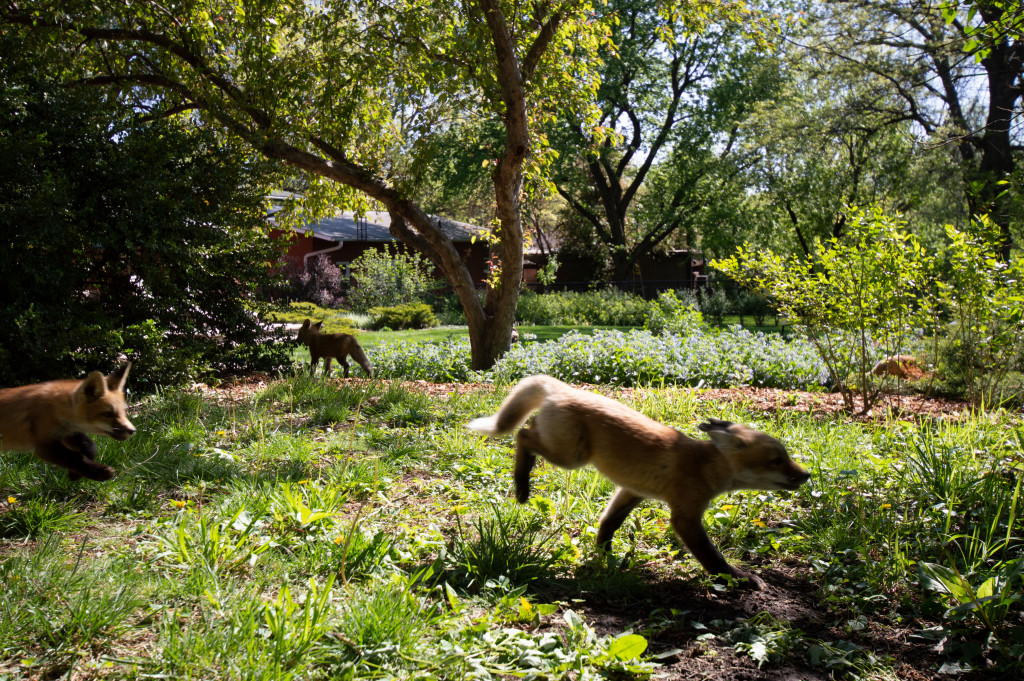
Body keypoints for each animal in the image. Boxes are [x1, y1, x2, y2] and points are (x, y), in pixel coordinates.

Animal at [0, 364, 136, 481]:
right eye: (108, 414)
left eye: (123, 412)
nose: (132, 431)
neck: (57, 408)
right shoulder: (44, 445)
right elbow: (76, 457)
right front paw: (100, 472)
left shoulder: (67, 433)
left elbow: (90, 446)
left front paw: (76, 474)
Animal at [468, 374, 811, 585]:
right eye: (777, 460)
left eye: (785, 456)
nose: (807, 475)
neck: (703, 465)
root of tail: (564, 388)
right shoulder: (685, 517)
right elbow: (711, 557)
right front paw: (737, 579)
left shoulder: (632, 491)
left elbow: (608, 525)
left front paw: (605, 560)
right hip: (570, 457)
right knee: (523, 436)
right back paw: (521, 485)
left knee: (526, 433)